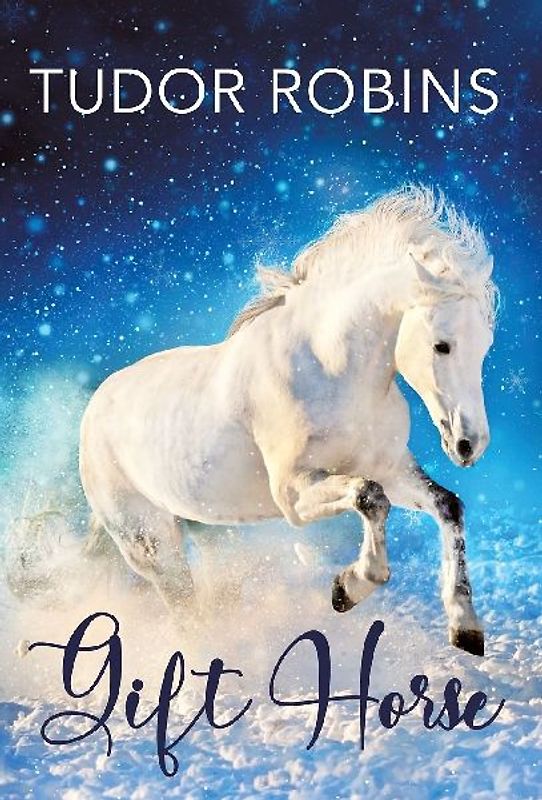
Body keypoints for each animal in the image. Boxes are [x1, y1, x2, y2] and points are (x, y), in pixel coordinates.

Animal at [79, 185, 498, 656]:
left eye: (485, 346)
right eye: (442, 345)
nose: (469, 444)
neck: (331, 369)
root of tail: (94, 410)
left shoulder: (389, 468)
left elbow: (447, 506)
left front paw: (465, 627)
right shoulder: (292, 492)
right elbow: (370, 497)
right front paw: (348, 588)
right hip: (148, 542)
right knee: (186, 611)